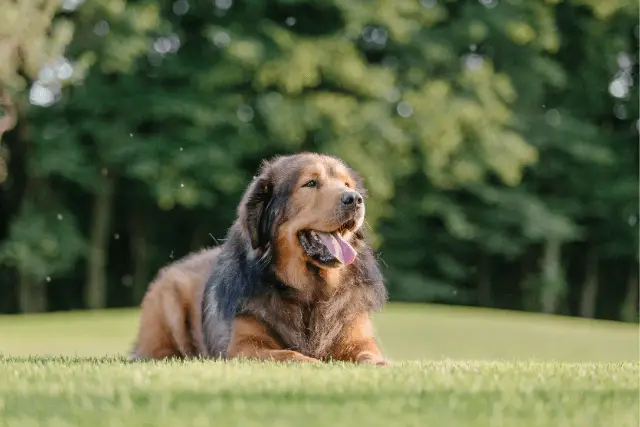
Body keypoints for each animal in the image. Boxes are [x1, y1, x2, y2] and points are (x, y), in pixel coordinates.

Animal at [129, 152, 388, 366]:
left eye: (347, 184)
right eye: (311, 183)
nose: (354, 199)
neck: (310, 295)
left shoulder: (358, 338)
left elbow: (370, 354)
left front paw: (380, 365)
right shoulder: (243, 347)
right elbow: (288, 354)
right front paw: (313, 362)